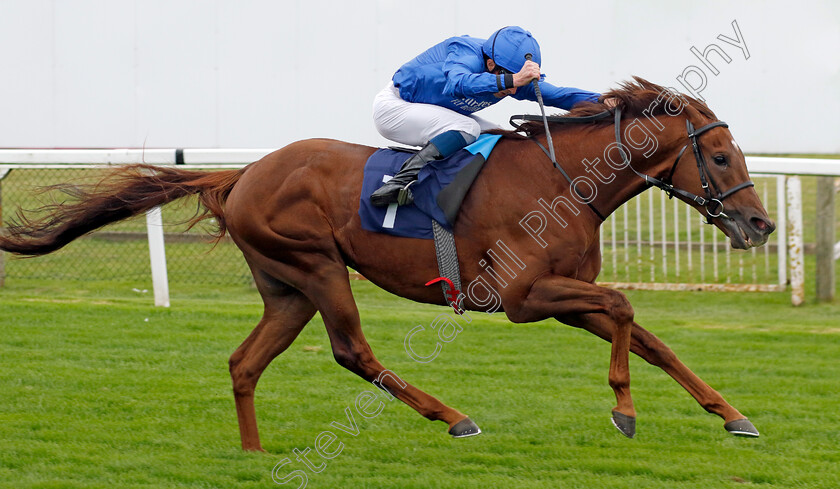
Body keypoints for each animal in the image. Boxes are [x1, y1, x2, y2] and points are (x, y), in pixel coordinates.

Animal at [0, 77, 776, 450]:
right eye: (718, 156)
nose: (760, 224)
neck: (563, 181)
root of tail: (244, 174)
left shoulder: (564, 294)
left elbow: (650, 338)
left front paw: (733, 415)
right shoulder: (524, 296)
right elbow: (624, 307)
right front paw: (622, 409)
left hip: (287, 287)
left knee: (245, 362)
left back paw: (252, 453)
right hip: (317, 265)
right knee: (351, 350)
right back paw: (453, 416)